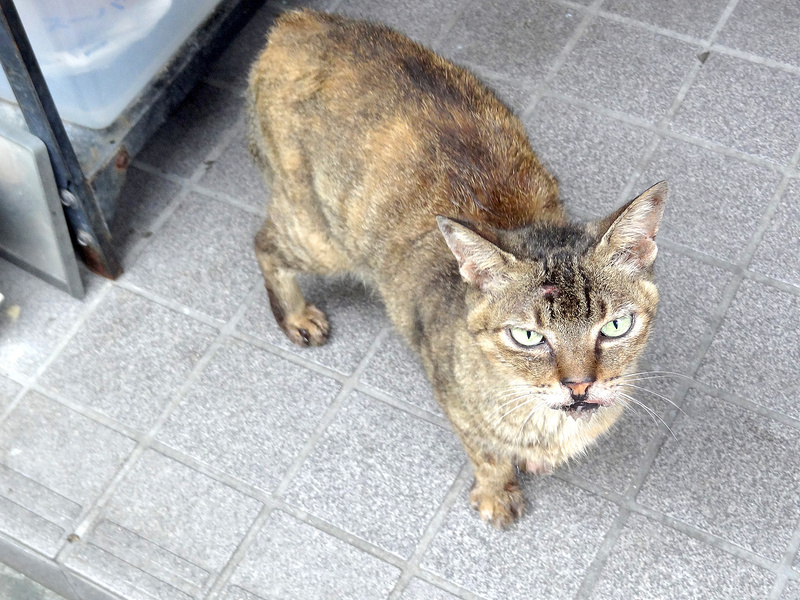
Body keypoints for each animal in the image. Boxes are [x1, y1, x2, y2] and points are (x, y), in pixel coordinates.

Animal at [247, 8, 664, 524]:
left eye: (615, 327)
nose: (580, 385)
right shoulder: (451, 397)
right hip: (319, 236)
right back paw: (297, 314)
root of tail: (300, 20)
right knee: (264, 242)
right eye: (528, 337)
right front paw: (497, 492)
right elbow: (485, 452)